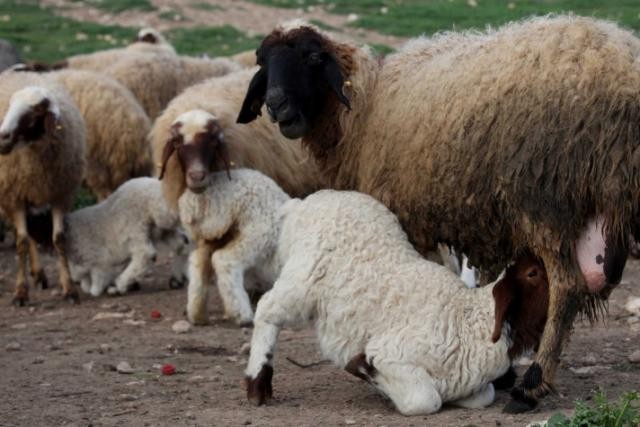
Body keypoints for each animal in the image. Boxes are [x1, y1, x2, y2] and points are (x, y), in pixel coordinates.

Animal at [0, 72, 85, 306]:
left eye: (34, 112)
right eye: (10, 106)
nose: (2, 138)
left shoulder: (59, 195)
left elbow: (59, 239)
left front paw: (69, 288)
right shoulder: (15, 197)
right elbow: (21, 241)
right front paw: (20, 292)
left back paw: (39, 274)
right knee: (23, 235)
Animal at [245, 191, 552, 418]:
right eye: (533, 273)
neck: (469, 319)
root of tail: (303, 204)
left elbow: (484, 395)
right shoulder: (392, 353)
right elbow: (425, 399)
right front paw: (364, 369)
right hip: (302, 279)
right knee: (267, 309)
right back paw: (257, 382)